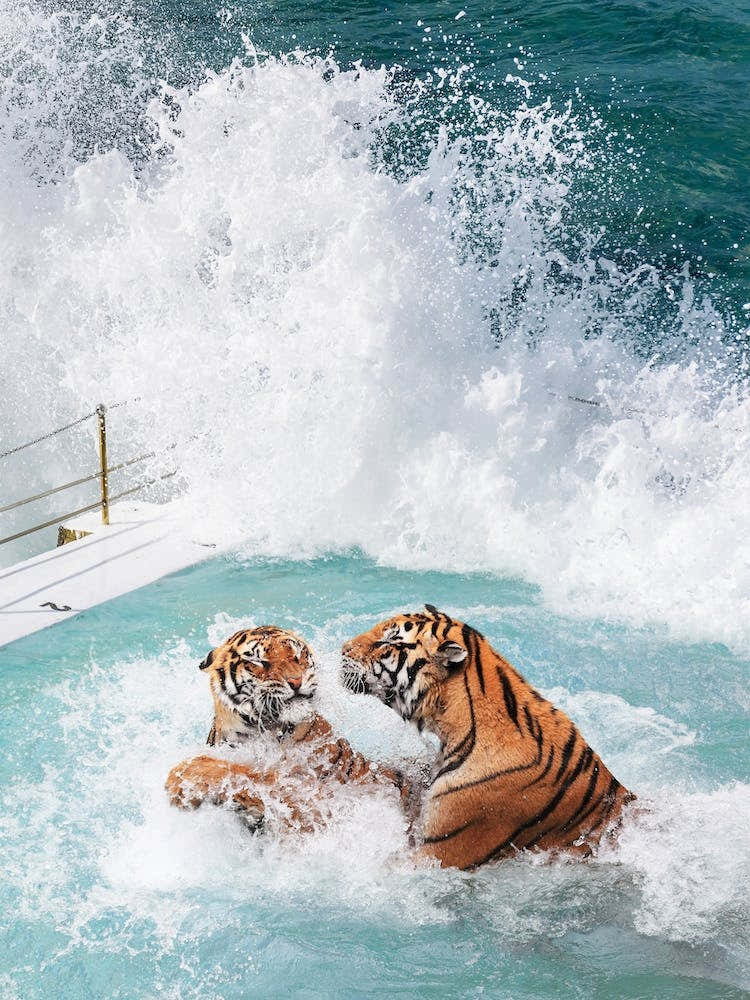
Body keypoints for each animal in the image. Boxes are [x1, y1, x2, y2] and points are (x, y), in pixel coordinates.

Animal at [166, 625, 415, 832]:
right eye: (258, 661)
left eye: (297, 655)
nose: (296, 681)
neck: (252, 733)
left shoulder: (308, 790)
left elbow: (247, 771)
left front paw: (179, 779)